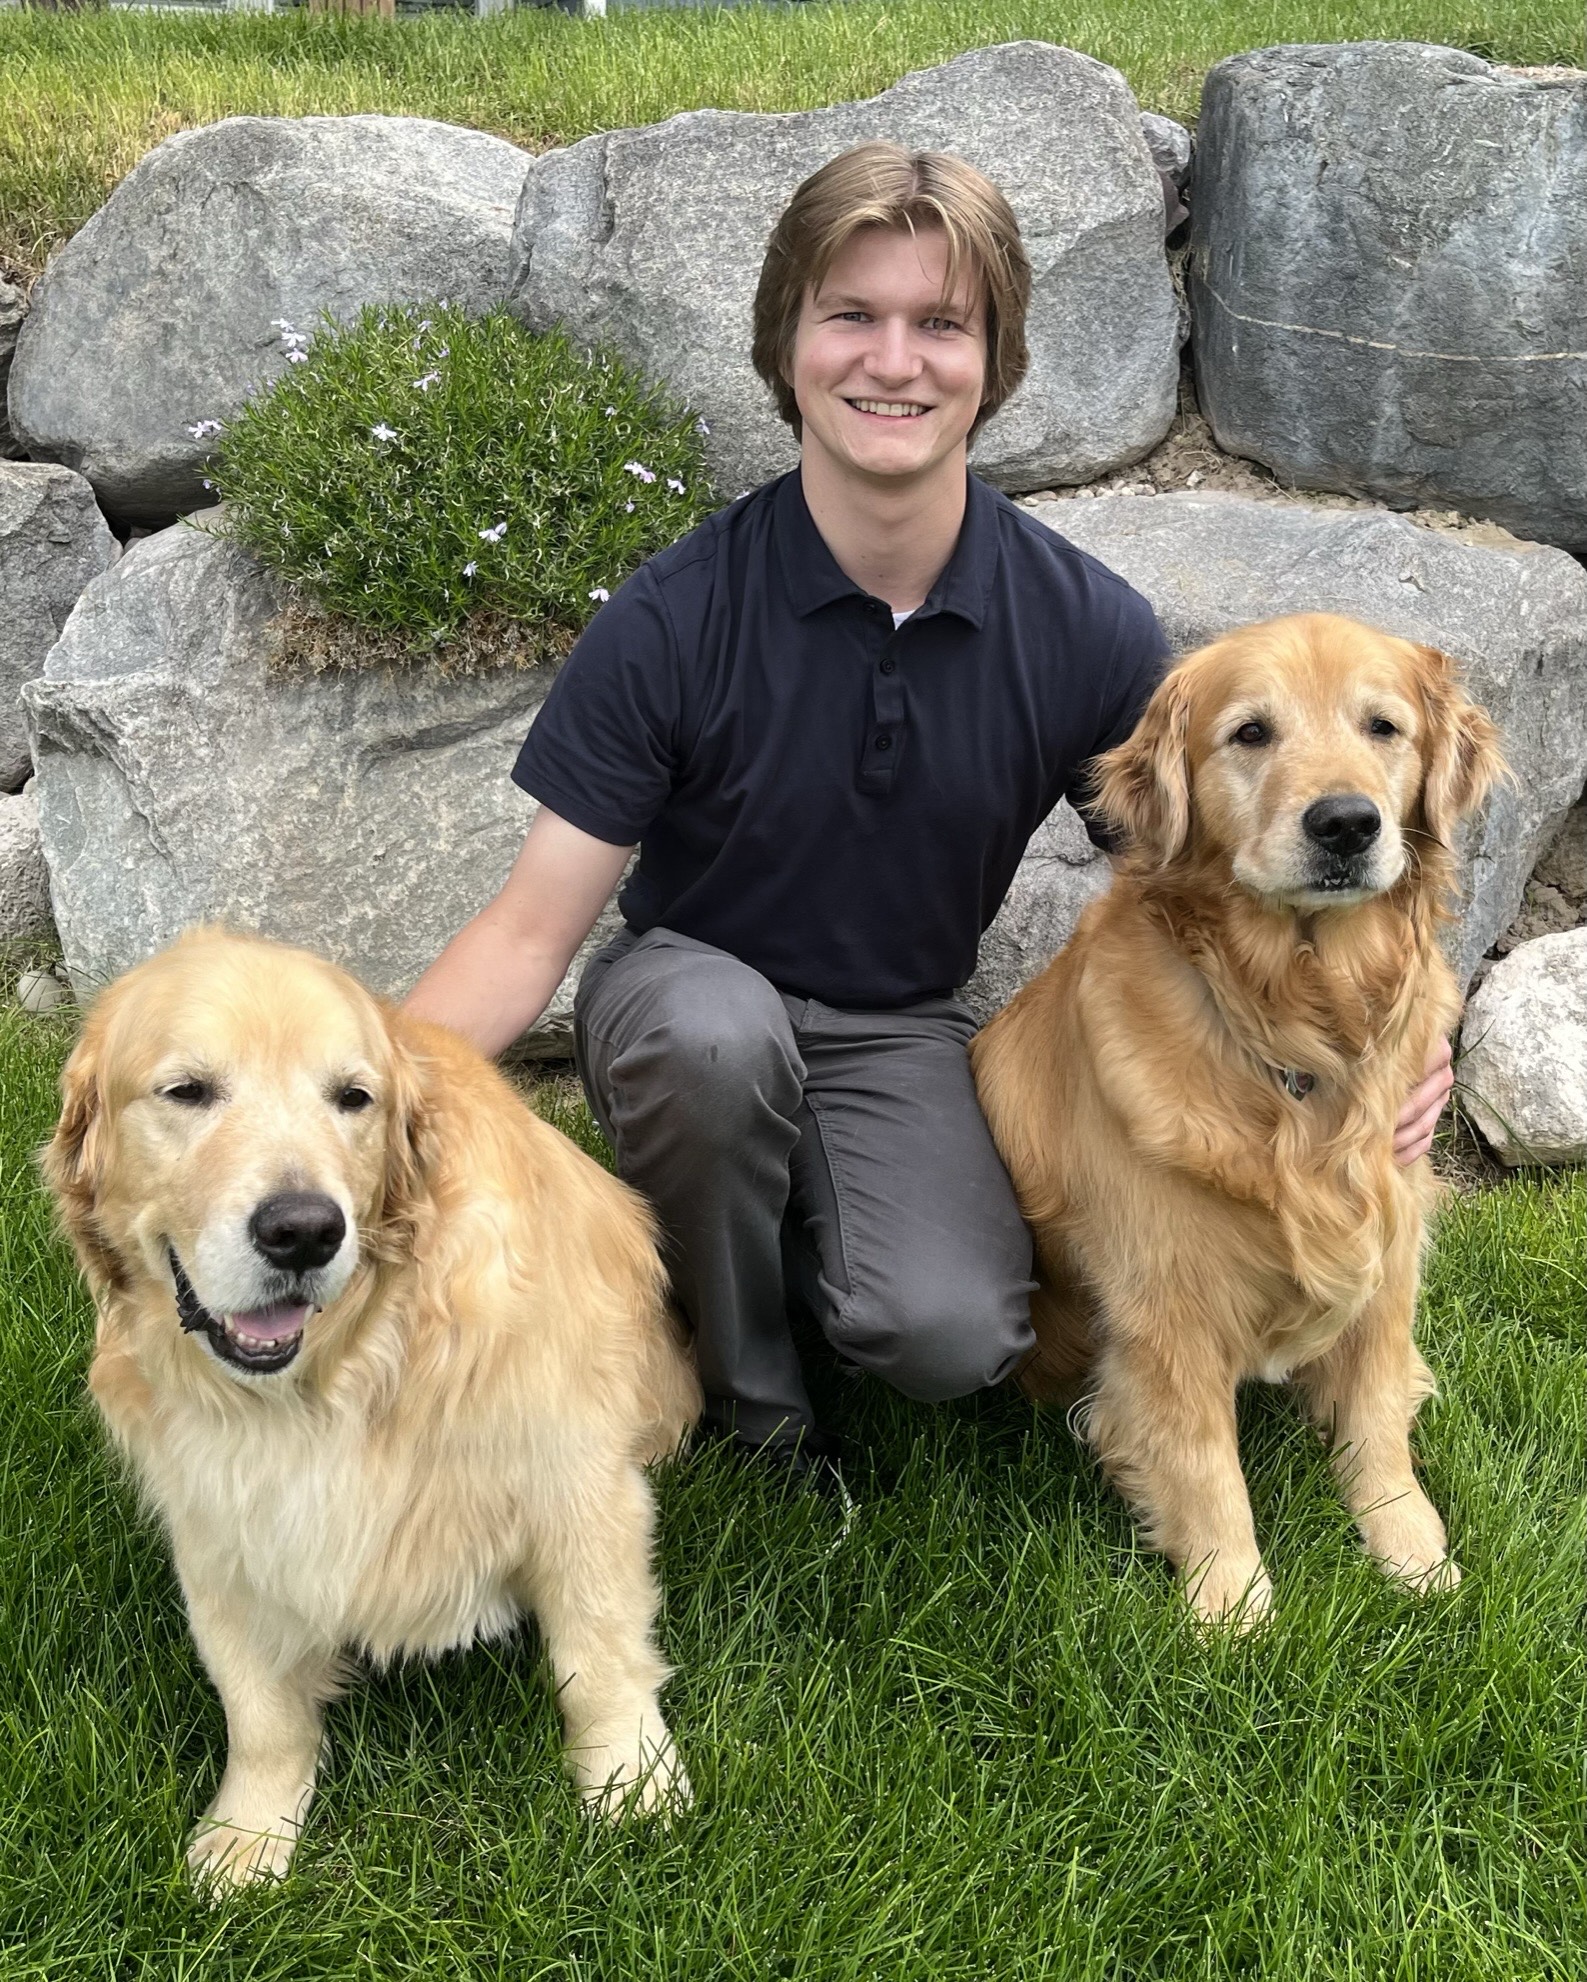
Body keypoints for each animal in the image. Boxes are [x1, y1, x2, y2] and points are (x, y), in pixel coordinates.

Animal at [41, 927, 701, 1886]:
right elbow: (260, 1708)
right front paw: (249, 1835)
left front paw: (634, 1786)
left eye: (353, 1098)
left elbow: (599, 1655)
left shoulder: (579, 1484)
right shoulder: (219, 1528)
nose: (303, 1230)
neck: (338, 1377)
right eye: (187, 1091)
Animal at [970, 614, 1505, 1625]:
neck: (1299, 1021)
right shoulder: (1166, 1301)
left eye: (1382, 727)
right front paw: (1233, 1612)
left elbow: (1375, 1416)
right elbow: (1201, 1465)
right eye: (1250, 733)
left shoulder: (1389, 1250)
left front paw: (1411, 1554)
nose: (1345, 822)